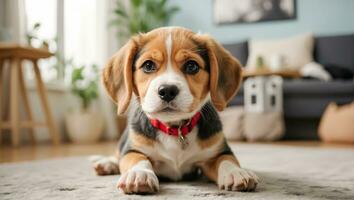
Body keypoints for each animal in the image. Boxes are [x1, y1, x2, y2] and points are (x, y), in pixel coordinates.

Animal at [93, 26, 260, 194]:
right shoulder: (133, 149)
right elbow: (137, 158)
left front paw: (236, 172)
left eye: (191, 66)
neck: (174, 128)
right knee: (117, 153)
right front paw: (139, 174)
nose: (167, 90)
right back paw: (107, 163)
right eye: (148, 65)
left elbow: (226, 160)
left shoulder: (218, 151)